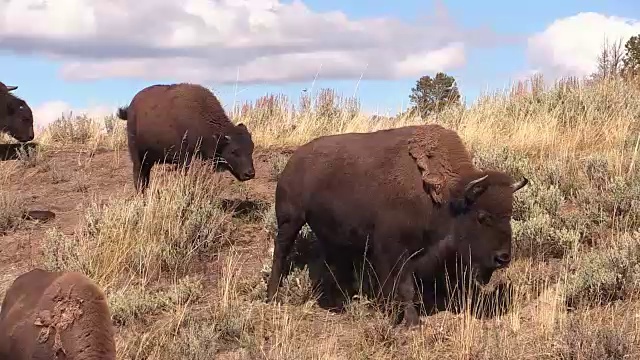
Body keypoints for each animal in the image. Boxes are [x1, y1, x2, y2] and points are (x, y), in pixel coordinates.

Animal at [116, 83, 256, 193]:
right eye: (234, 151)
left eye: (251, 149)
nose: (250, 173)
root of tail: (130, 109)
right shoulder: (185, 159)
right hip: (138, 156)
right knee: (138, 176)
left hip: (149, 159)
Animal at [262, 124, 528, 326]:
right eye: (482, 216)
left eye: (509, 215)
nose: (503, 258)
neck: (447, 199)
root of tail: (293, 160)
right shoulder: (393, 252)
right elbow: (404, 286)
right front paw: (411, 322)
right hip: (290, 220)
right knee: (281, 251)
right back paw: (272, 295)